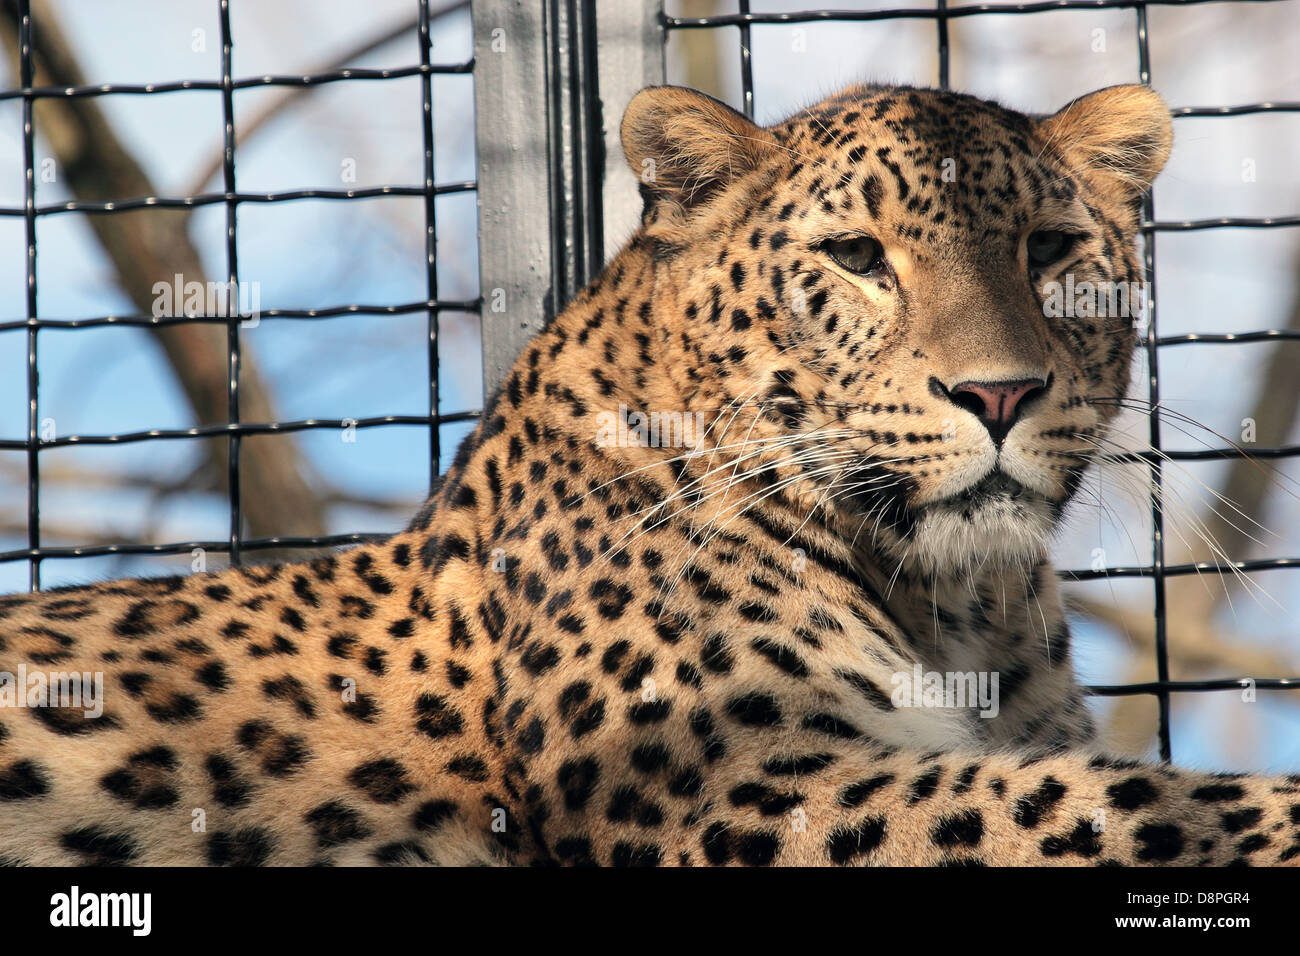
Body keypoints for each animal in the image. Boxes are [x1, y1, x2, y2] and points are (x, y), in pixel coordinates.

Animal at [2, 82, 1300, 868]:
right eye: (855, 256)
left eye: (1052, 250)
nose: (998, 394)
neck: (956, 604)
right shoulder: (737, 787)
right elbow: (1111, 802)